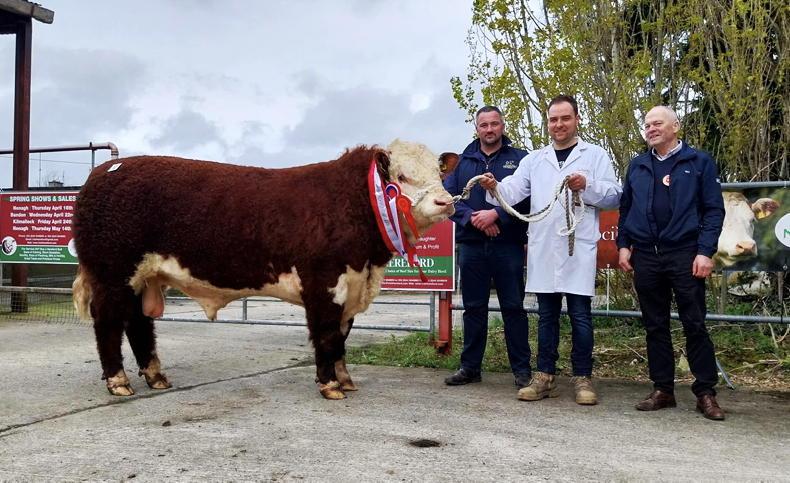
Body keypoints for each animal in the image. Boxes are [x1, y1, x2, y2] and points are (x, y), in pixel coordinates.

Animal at [72, 140, 456, 400]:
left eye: (438, 174)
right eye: (402, 177)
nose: (446, 202)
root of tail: (100, 174)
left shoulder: (352, 283)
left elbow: (342, 337)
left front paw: (346, 380)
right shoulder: (324, 283)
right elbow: (327, 335)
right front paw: (330, 385)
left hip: (144, 277)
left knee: (138, 323)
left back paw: (155, 377)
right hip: (112, 273)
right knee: (108, 322)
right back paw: (119, 382)